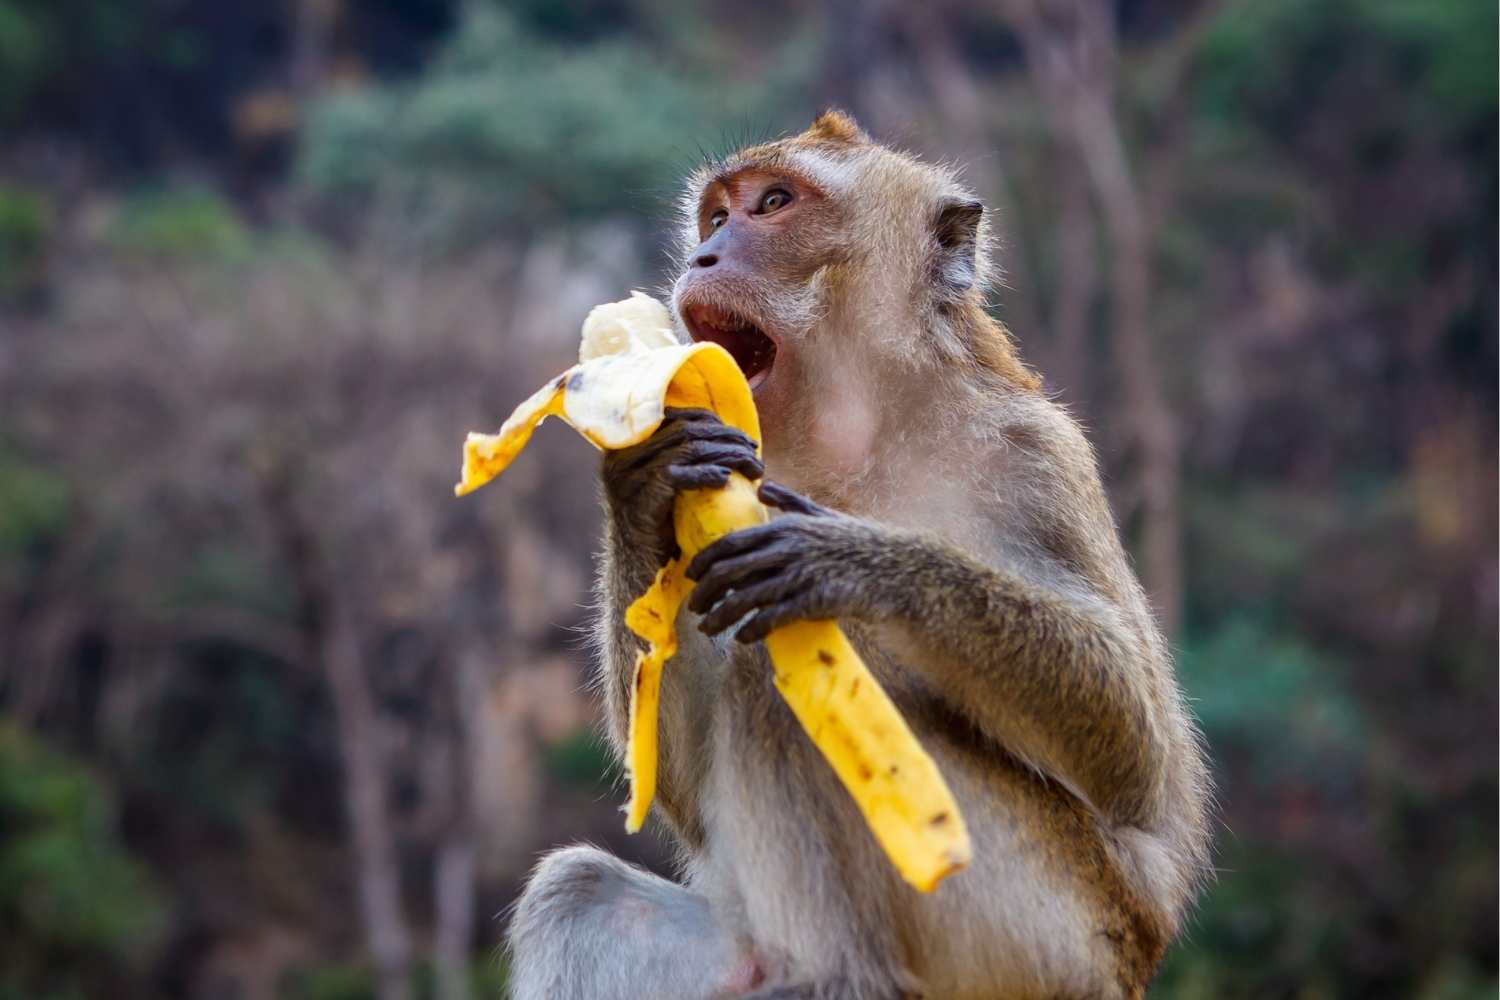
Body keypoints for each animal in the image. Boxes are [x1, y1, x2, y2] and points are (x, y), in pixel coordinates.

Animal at [506, 111, 1212, 1000]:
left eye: (774, 204)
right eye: (716, 216)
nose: (704, 257)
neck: (856, 428)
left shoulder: (1036, 457)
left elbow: (1139, 759)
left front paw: (852, 561)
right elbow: (678, 783)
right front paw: (643, 475)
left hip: (1040, 935)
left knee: (785, 680)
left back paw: (843, 975)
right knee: (579, 890)